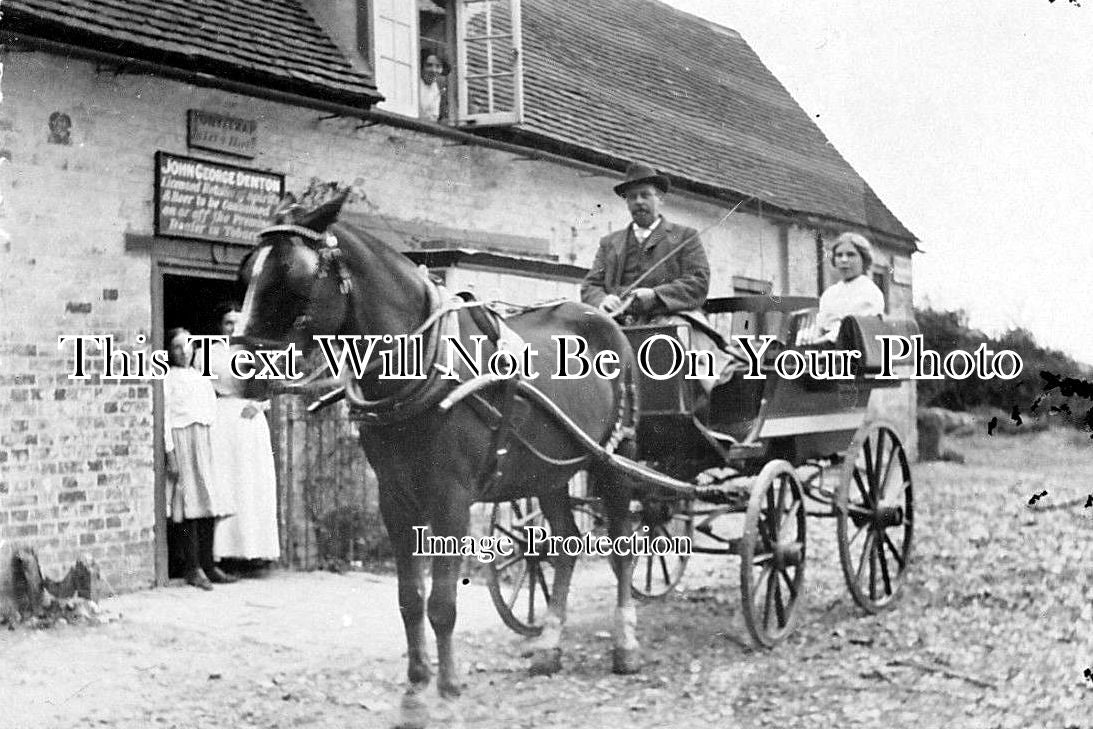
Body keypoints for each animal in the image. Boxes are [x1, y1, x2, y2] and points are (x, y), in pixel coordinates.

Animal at [232, 191, 638, 725]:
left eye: (293, 275)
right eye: (247, 272)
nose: (237, 373)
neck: (424, 366)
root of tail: (605, 320)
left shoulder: (451, 500)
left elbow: (442, 604)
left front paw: (447, 696)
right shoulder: (395, 499)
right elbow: (410, 599)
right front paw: (415, 692)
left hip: (613, 460)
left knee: (625, 548)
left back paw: (625, 643)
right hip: (548, 472)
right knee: (564, 546)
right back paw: (549, 645)